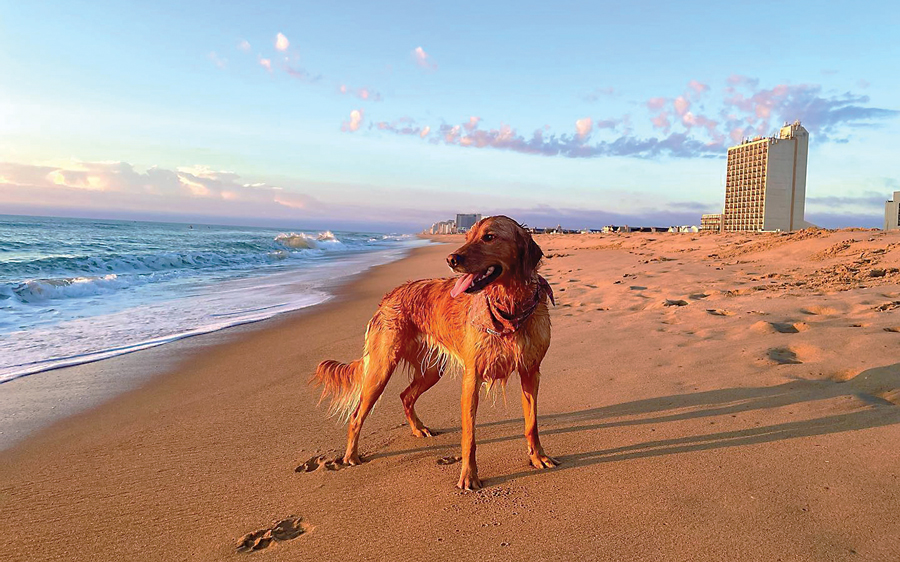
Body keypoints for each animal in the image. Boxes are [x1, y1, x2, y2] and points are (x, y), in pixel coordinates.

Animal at [314, 214, 556, 486]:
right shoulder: (472, 378)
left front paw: (538, 456)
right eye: (467, 237)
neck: (510, 309)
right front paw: (468, 475)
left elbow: (532, 423)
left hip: (430, 371)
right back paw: (351, 456)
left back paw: (418, 428)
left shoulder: (530, 373)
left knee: (405, 396)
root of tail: (389, 296)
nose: (451, 259)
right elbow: (469, 436)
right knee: (357, 416)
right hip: (380, 369)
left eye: (489, 236)